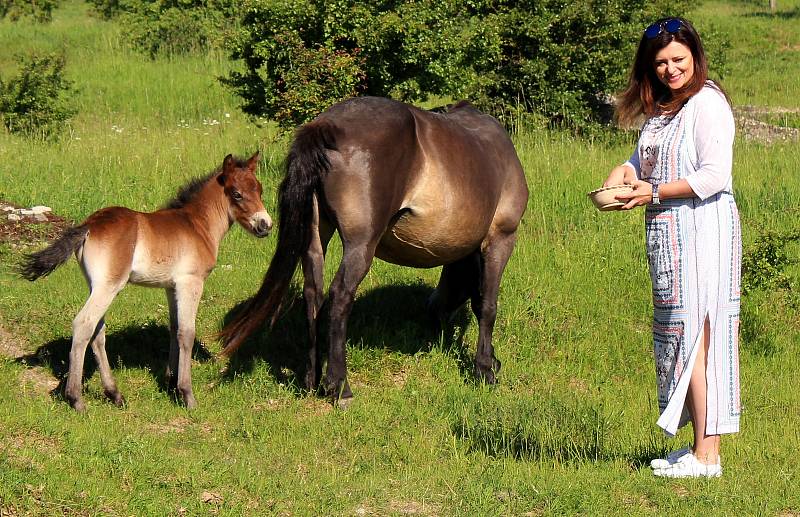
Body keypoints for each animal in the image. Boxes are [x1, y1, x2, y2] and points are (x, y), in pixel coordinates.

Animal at [18, 152, 272, 412]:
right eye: (237, 193)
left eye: (260, 189)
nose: (265, 225)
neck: (197, 225)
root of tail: (89, 225)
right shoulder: (190, 282)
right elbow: (187, 332)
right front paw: (187, 394)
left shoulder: (171, 287)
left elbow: (174, 327)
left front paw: (170, 382)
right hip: (109, 286)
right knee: (84, 325)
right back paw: (76, 399)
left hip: (96, 286)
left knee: (98, 331)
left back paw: (115, 394)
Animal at [222, 97, 528, 404]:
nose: (433, 311)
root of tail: (325, 126)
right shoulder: (501, 237)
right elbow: (486, 305)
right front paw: (485, 369)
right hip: (361, 244)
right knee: (340, 296)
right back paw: (340, 387)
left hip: (316, 237)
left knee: (313, 294)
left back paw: (312, 378)